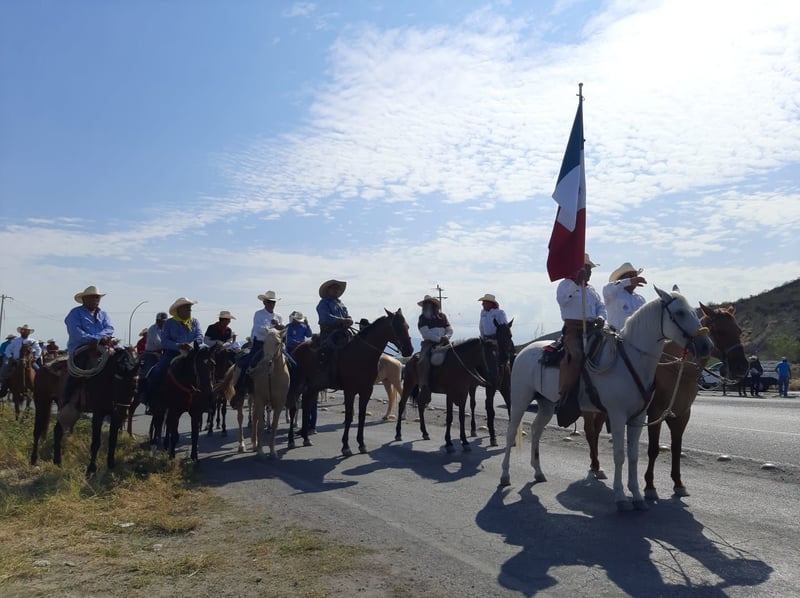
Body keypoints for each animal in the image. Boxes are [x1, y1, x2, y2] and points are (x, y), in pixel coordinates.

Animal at [250, 328, 290, 460]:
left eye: (278, 343)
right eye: (264, 342)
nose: (266, 362)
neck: (271, 376)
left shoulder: (279, 403)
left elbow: (274, 425)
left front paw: (272, 451)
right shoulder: (260, 400)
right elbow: (261, 425)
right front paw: (260, 451)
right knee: (254, 419)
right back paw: (253, 444)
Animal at [288, 312, 412, 458]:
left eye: (407, 326)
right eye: (397, 327)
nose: (409, 350)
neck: (360, 355)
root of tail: (296, 350)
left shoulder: (366, 390)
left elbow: (361, 416)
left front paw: (361, 444)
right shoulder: (350, 391)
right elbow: (348, 417)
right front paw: (346, 447)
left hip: (313, 387)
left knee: (306, 407)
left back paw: (306, 438)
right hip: (298, 385)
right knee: (294, 408)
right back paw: (291, 440)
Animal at [500, 288, 712, 512]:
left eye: (694, 312)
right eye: (679, 312)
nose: (706, 345)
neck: (631, 361)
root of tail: (523, 352)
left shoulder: (638, 419)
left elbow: (634, 456)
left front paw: (637, 496)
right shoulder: (618, 416)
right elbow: (619, 454)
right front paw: (620, 497)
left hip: (547, 405)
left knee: (536, 430)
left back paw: (538, 472)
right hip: (520, 400)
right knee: (511, 432)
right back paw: (505, 475)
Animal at [580, 302, 752, 500]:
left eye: (739, 330)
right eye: (720, 330)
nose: (742, 367)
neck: (678, 371)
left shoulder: (682, 415)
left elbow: (676, 448)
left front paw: (678, 483)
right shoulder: (656, 413)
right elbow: (653, 449)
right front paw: (649, 486)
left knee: (595, 432)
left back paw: (596, 466)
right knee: (590, 432)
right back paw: (595, 467)